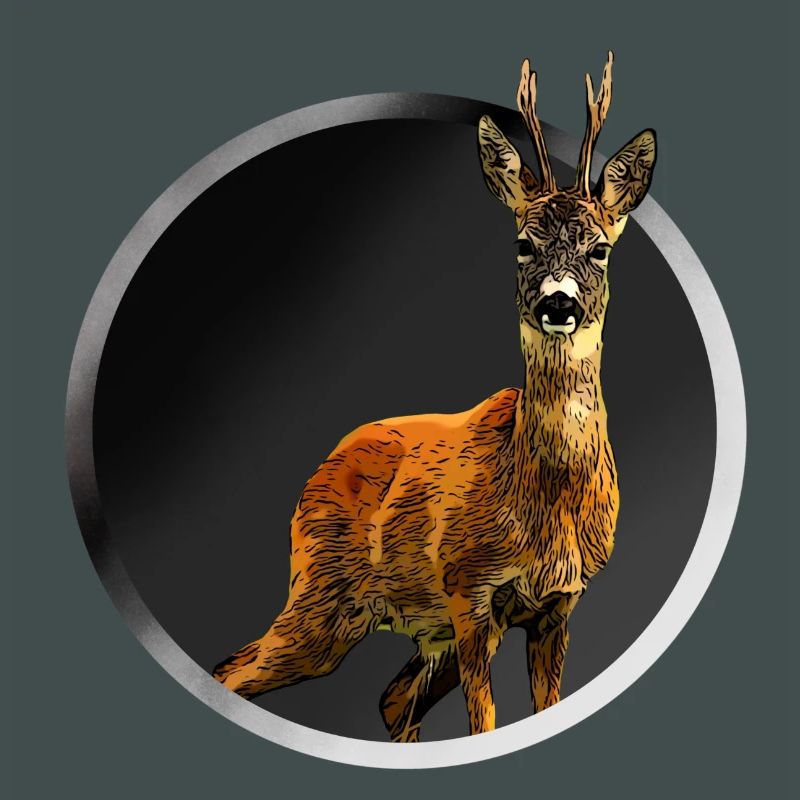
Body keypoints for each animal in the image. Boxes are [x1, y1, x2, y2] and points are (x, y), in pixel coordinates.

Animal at [212, 51, 656, 740]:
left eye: (601, 248)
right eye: (522, 243)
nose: (558, 304)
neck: (541, 503)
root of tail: (321, 468)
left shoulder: (557, 605)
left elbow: (542, 706)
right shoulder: (468, 589)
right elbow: (486, 723)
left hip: (409, 624)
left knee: (390, 698)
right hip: (321, 595)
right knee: (235, 670)